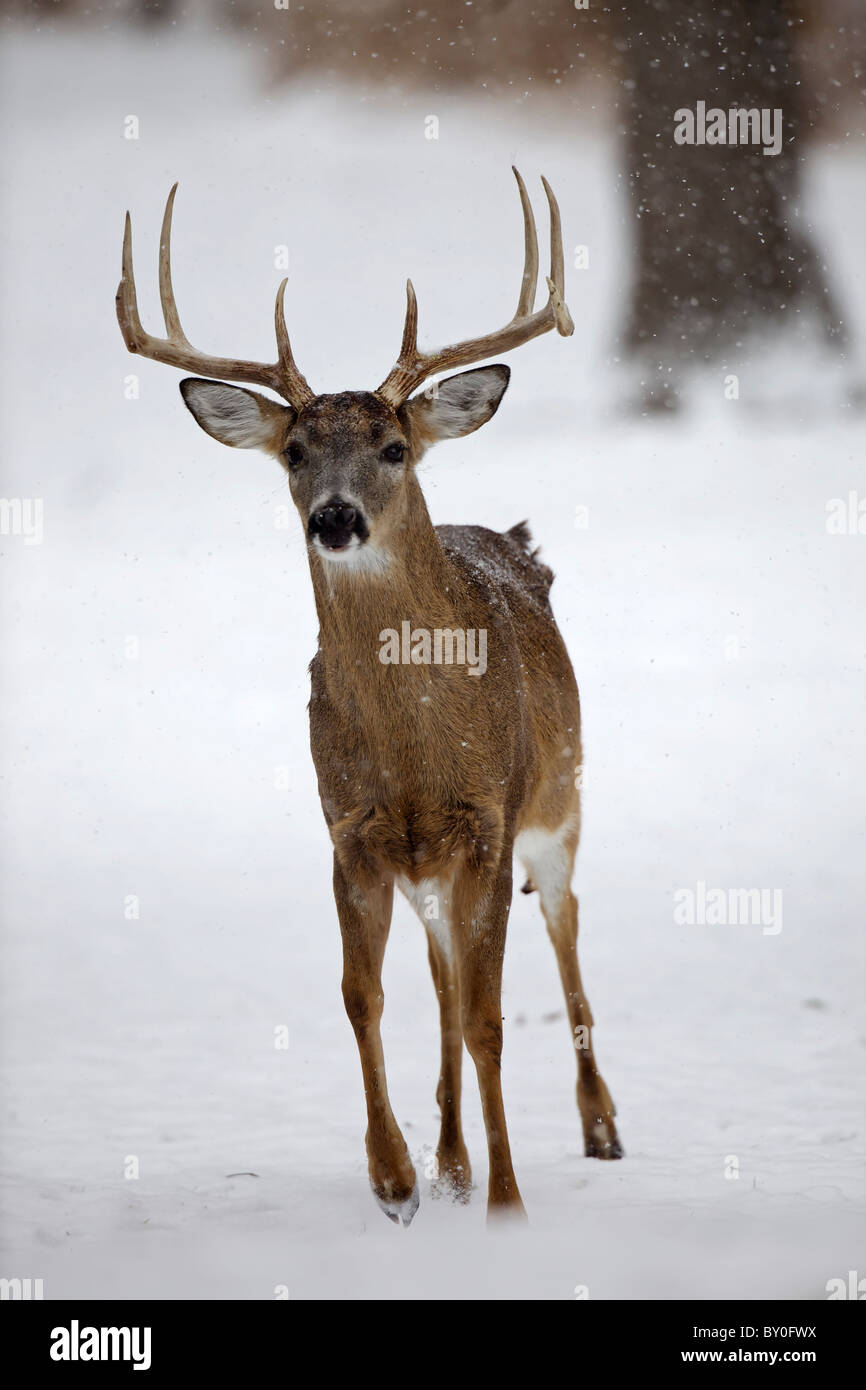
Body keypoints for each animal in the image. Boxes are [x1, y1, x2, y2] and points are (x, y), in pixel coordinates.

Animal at [115, 168, 622, 1223]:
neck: (417, 751)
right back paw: (452, 1160)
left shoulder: (488, 820)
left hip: (558, 804)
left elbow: (490, 1016)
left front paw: (509, 1204)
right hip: (429, 872)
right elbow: (366, 996)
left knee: (563, 931)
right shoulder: (352, 830)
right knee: (438, 983)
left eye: (393, 446)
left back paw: (600, 1128)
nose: (336, 517)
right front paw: (397, 1176)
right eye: (295, 451)